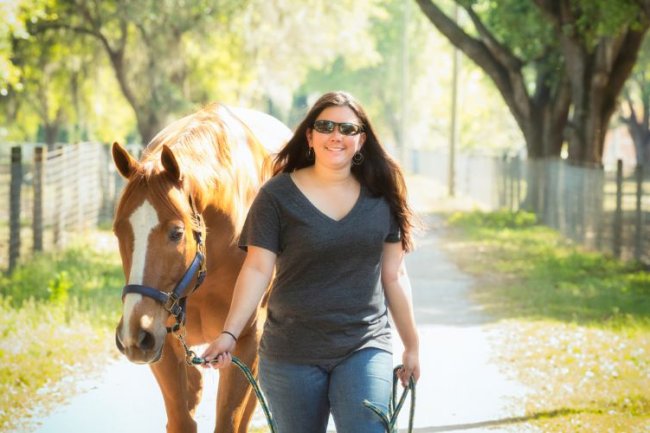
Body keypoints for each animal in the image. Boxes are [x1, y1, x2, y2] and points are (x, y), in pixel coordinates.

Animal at [112, 103, 291, 433]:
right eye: (119, 231)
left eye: (176, 233)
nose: (135, 333)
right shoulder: (165, 343)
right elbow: (181, 419)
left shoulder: (246, 342)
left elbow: (230, 420)